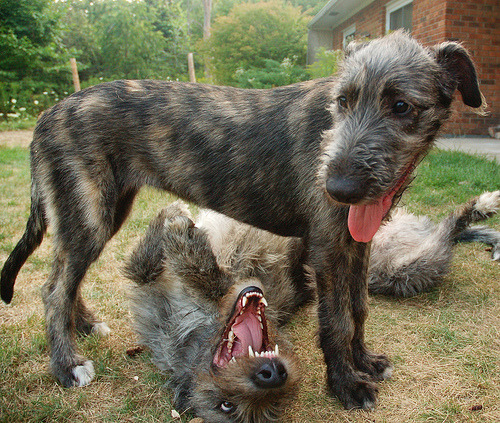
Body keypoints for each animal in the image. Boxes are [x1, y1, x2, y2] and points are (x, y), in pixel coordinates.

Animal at [0, 31, 484, 410]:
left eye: (401, 106)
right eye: (343, 102)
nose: (336, 187)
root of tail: (47, 115)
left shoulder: (355, 241)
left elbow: (359, 307)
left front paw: (363, 360)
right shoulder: (327, 247)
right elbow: (337, 319)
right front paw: (346, 384)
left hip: (104, 211)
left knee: (69, 278)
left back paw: (84, 325)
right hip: (88, 211)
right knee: (53, 288)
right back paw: (68, 365)